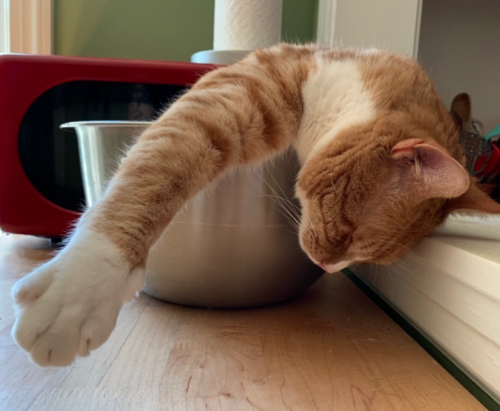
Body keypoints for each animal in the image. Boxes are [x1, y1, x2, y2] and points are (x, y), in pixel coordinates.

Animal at [10, 45, 500, 366]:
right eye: (345, 234)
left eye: (365, 258)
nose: (327, 266)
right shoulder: (240, 92)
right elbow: (157, 168)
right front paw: (83, 286)